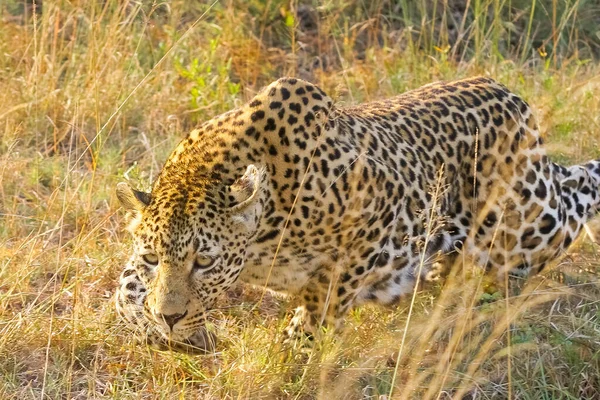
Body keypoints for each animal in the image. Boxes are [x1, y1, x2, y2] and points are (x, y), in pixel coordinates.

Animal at [113, 76, 600, 352]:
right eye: (154, 258)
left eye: (205, 262)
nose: (170, 318)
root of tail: (511, 95)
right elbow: (126, 291)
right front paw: (156, 326)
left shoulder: (376, 221)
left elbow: (322, 303)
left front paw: (295, 353)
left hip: (528, 228)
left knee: (575, 193)